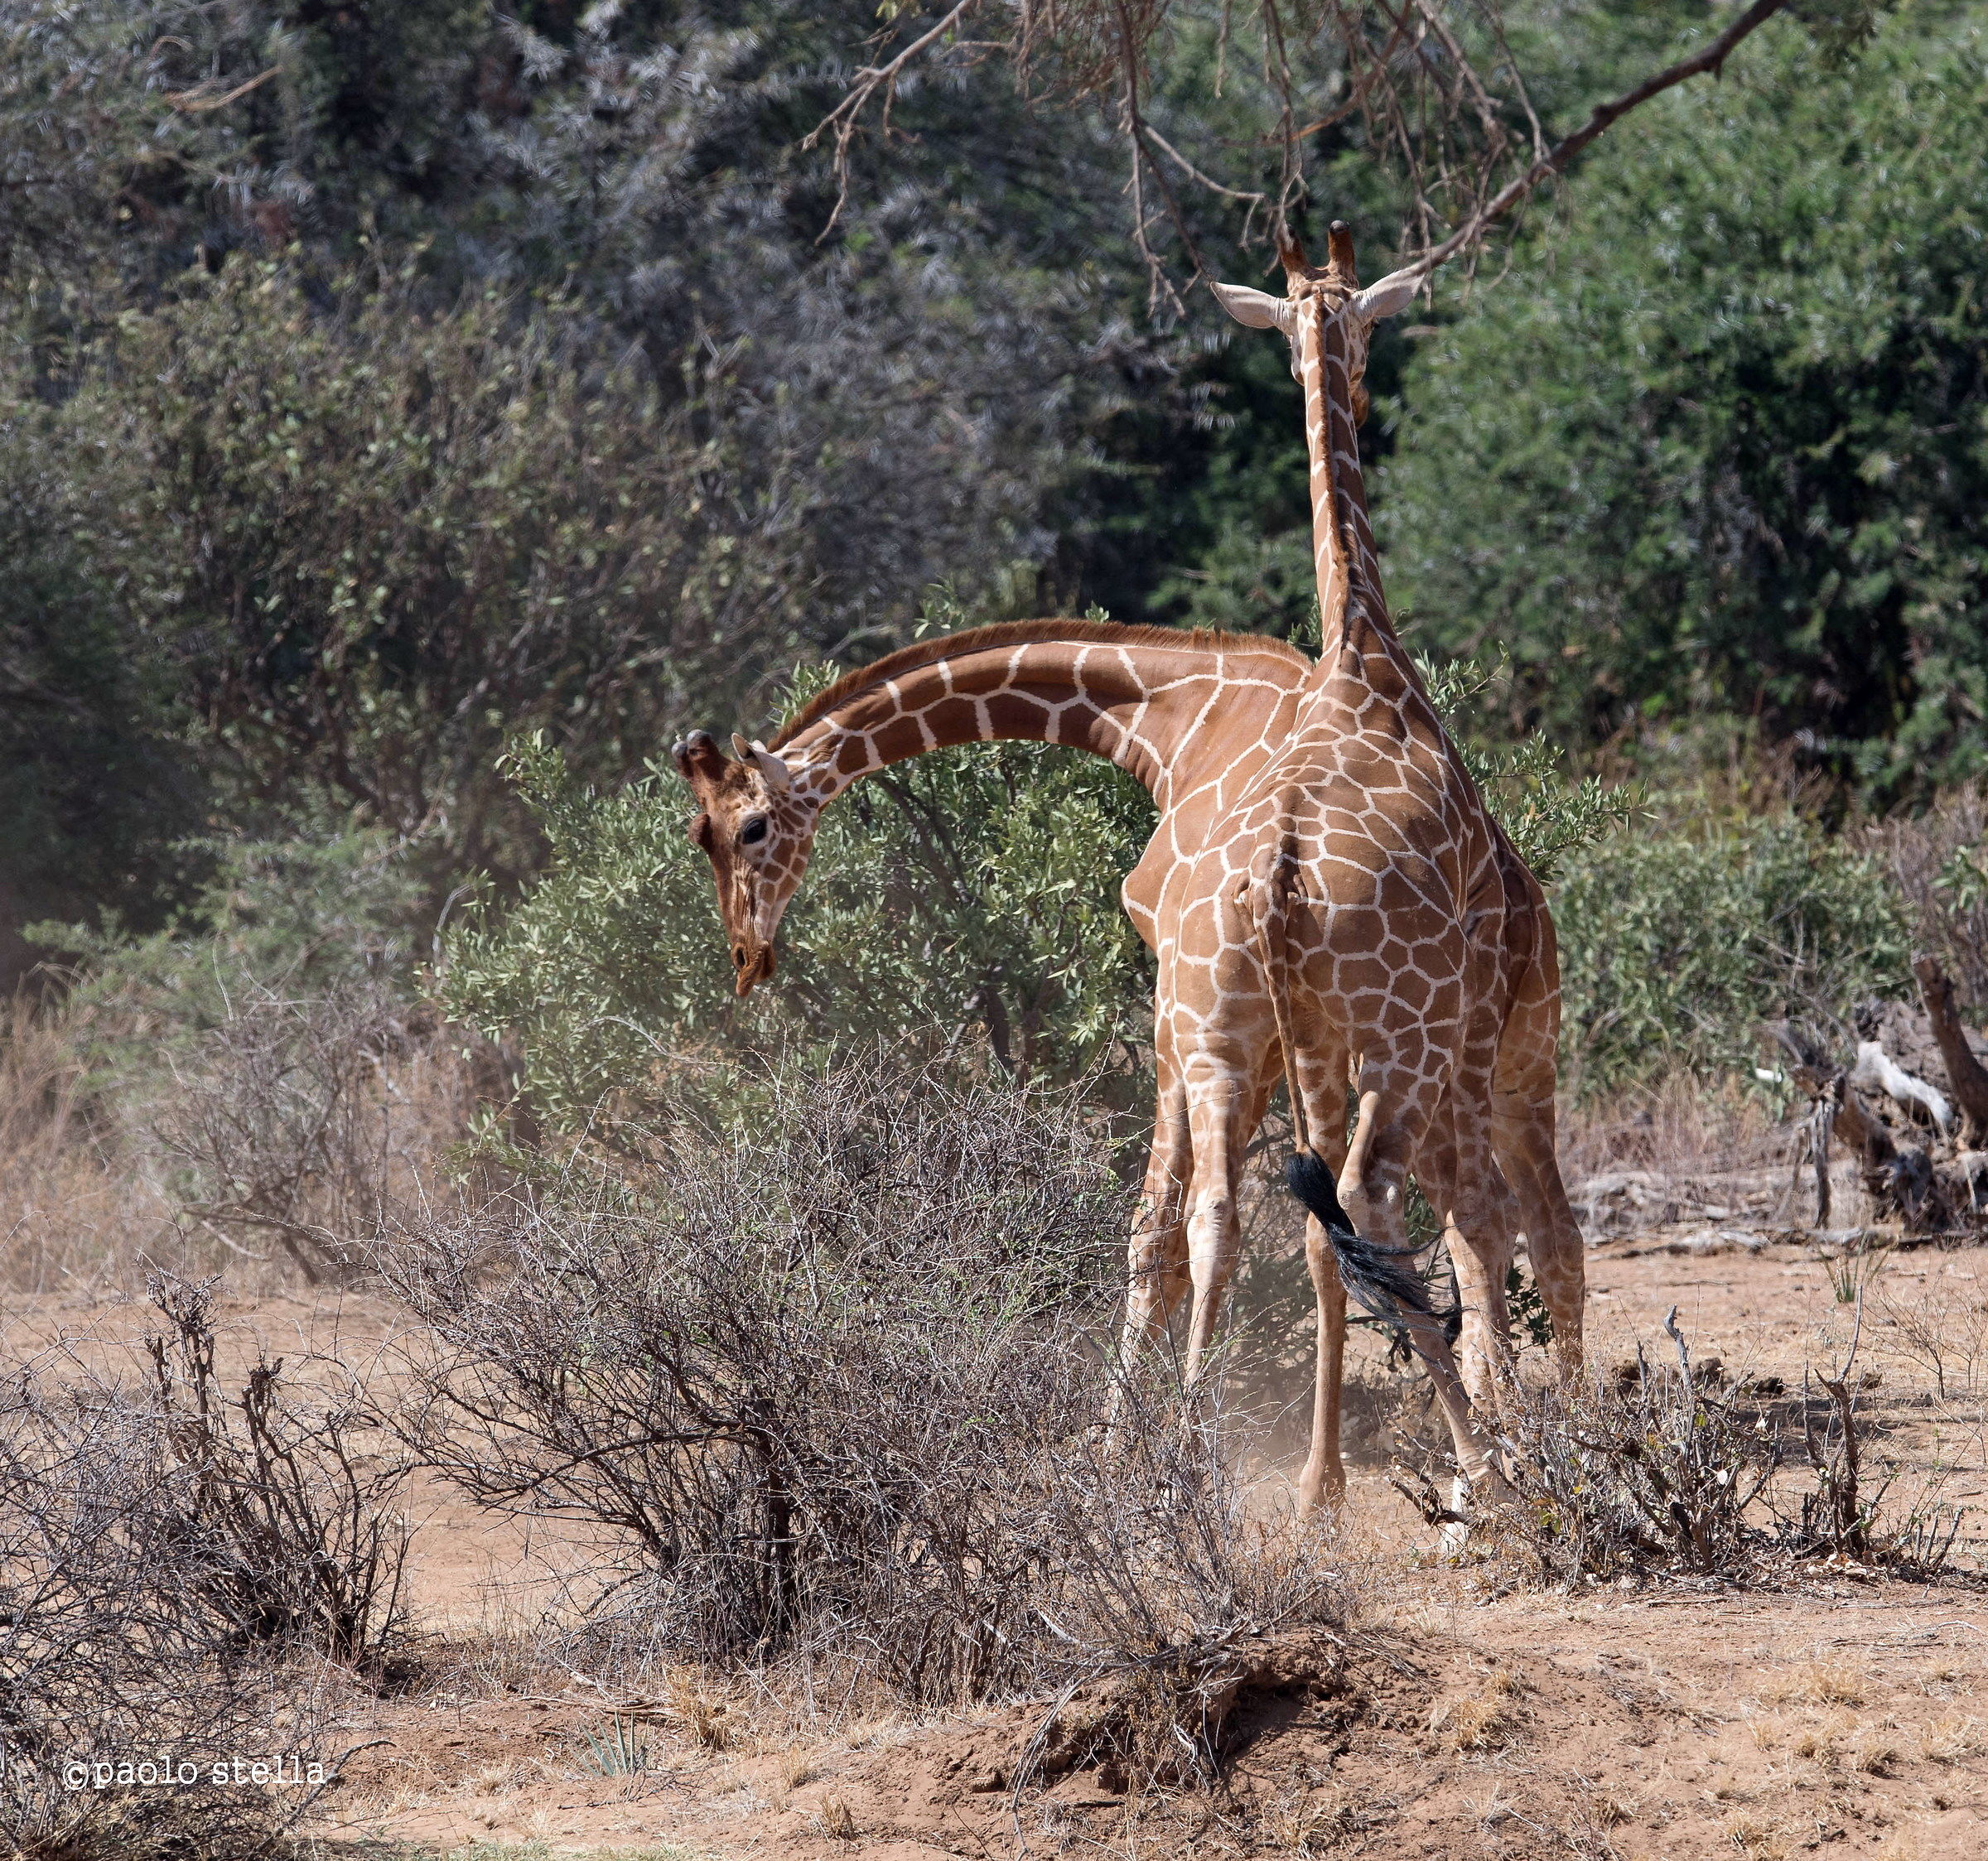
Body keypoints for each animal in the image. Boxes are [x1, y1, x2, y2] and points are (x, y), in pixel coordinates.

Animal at [672, 615, 1504, 1503]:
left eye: (751, 827)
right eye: (700, 835)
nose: (744, 956)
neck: (1179, 715)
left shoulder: (1186, 1014)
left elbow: (1161, 1230)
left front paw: (1125, 1451)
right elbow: (1185, 1233)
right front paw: (1125, 1449)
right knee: (1428, 1209)